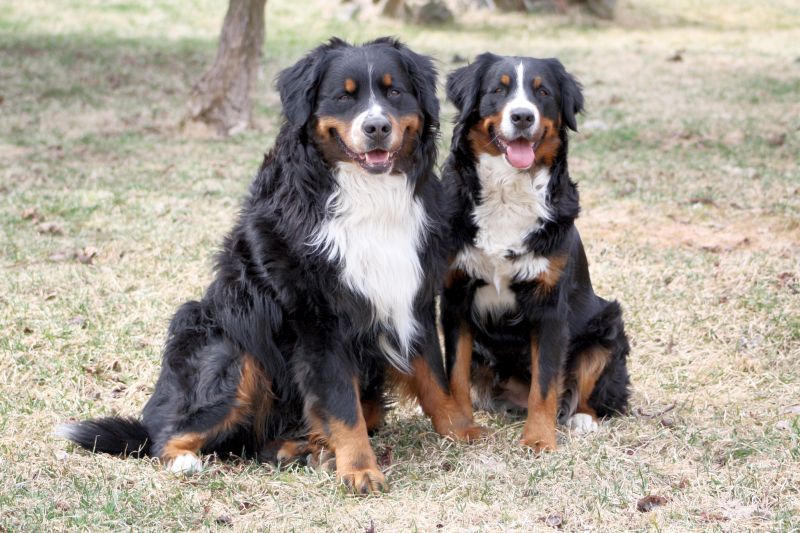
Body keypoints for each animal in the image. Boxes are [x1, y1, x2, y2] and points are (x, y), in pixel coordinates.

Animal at [57, 38, 482, 494]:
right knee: (169, 434)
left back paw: (301, 449)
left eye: (395, 92)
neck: (367, 195)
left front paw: (462, 430)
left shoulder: (410, 293)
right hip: (229, 344)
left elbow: (432, 375)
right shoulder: (319, 319)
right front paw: (360, 469)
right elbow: (342, 404)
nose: (377, 127)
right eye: (343, 97)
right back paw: (191, 460)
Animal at [438, 54, 632, 450]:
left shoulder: (549, 305)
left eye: (542, 93)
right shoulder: (455, 296)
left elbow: (545, 384)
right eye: (498, 89)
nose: (523, 117)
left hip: (607, 324)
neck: (507, 195)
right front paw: (462, 427)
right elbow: (456, 375)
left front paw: (540, 440)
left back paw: (582, 418)